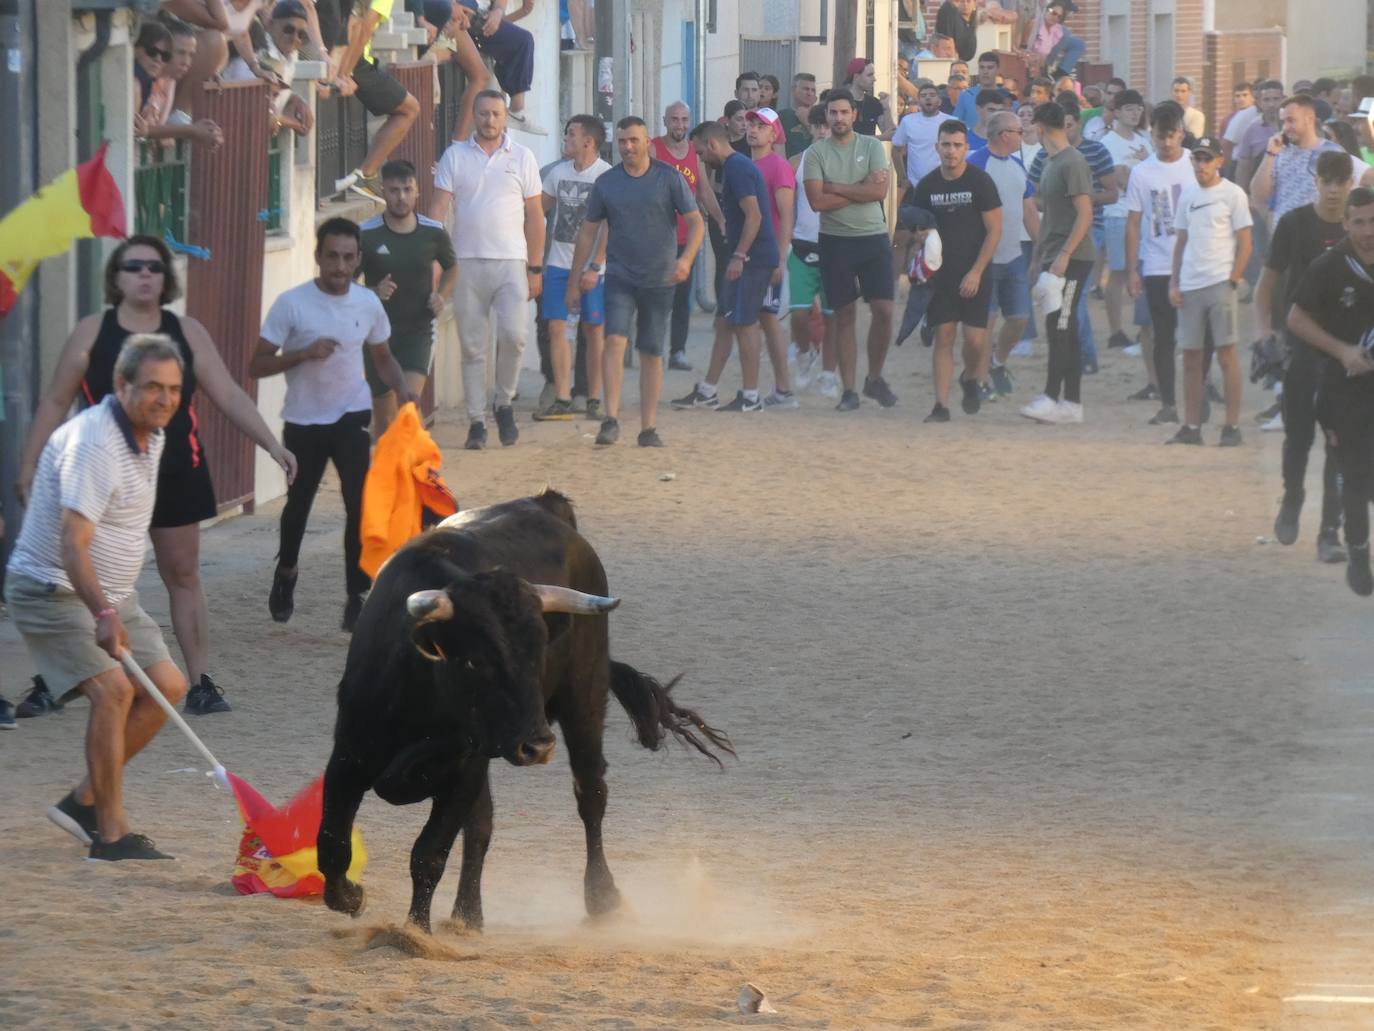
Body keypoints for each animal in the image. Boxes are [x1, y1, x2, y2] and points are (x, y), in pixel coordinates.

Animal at [317, 489, 736, 934]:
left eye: (538, 655)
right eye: (476, 661)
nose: (538, 746)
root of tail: (547, 503)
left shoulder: (462, 771)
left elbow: (428, 854)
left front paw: (414, 934)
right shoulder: (348, 757)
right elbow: (333, 844)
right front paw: (352, 896)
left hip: (584, 699)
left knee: (590, 793)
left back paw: (602, 898)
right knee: (482, 826)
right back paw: (468, 916)